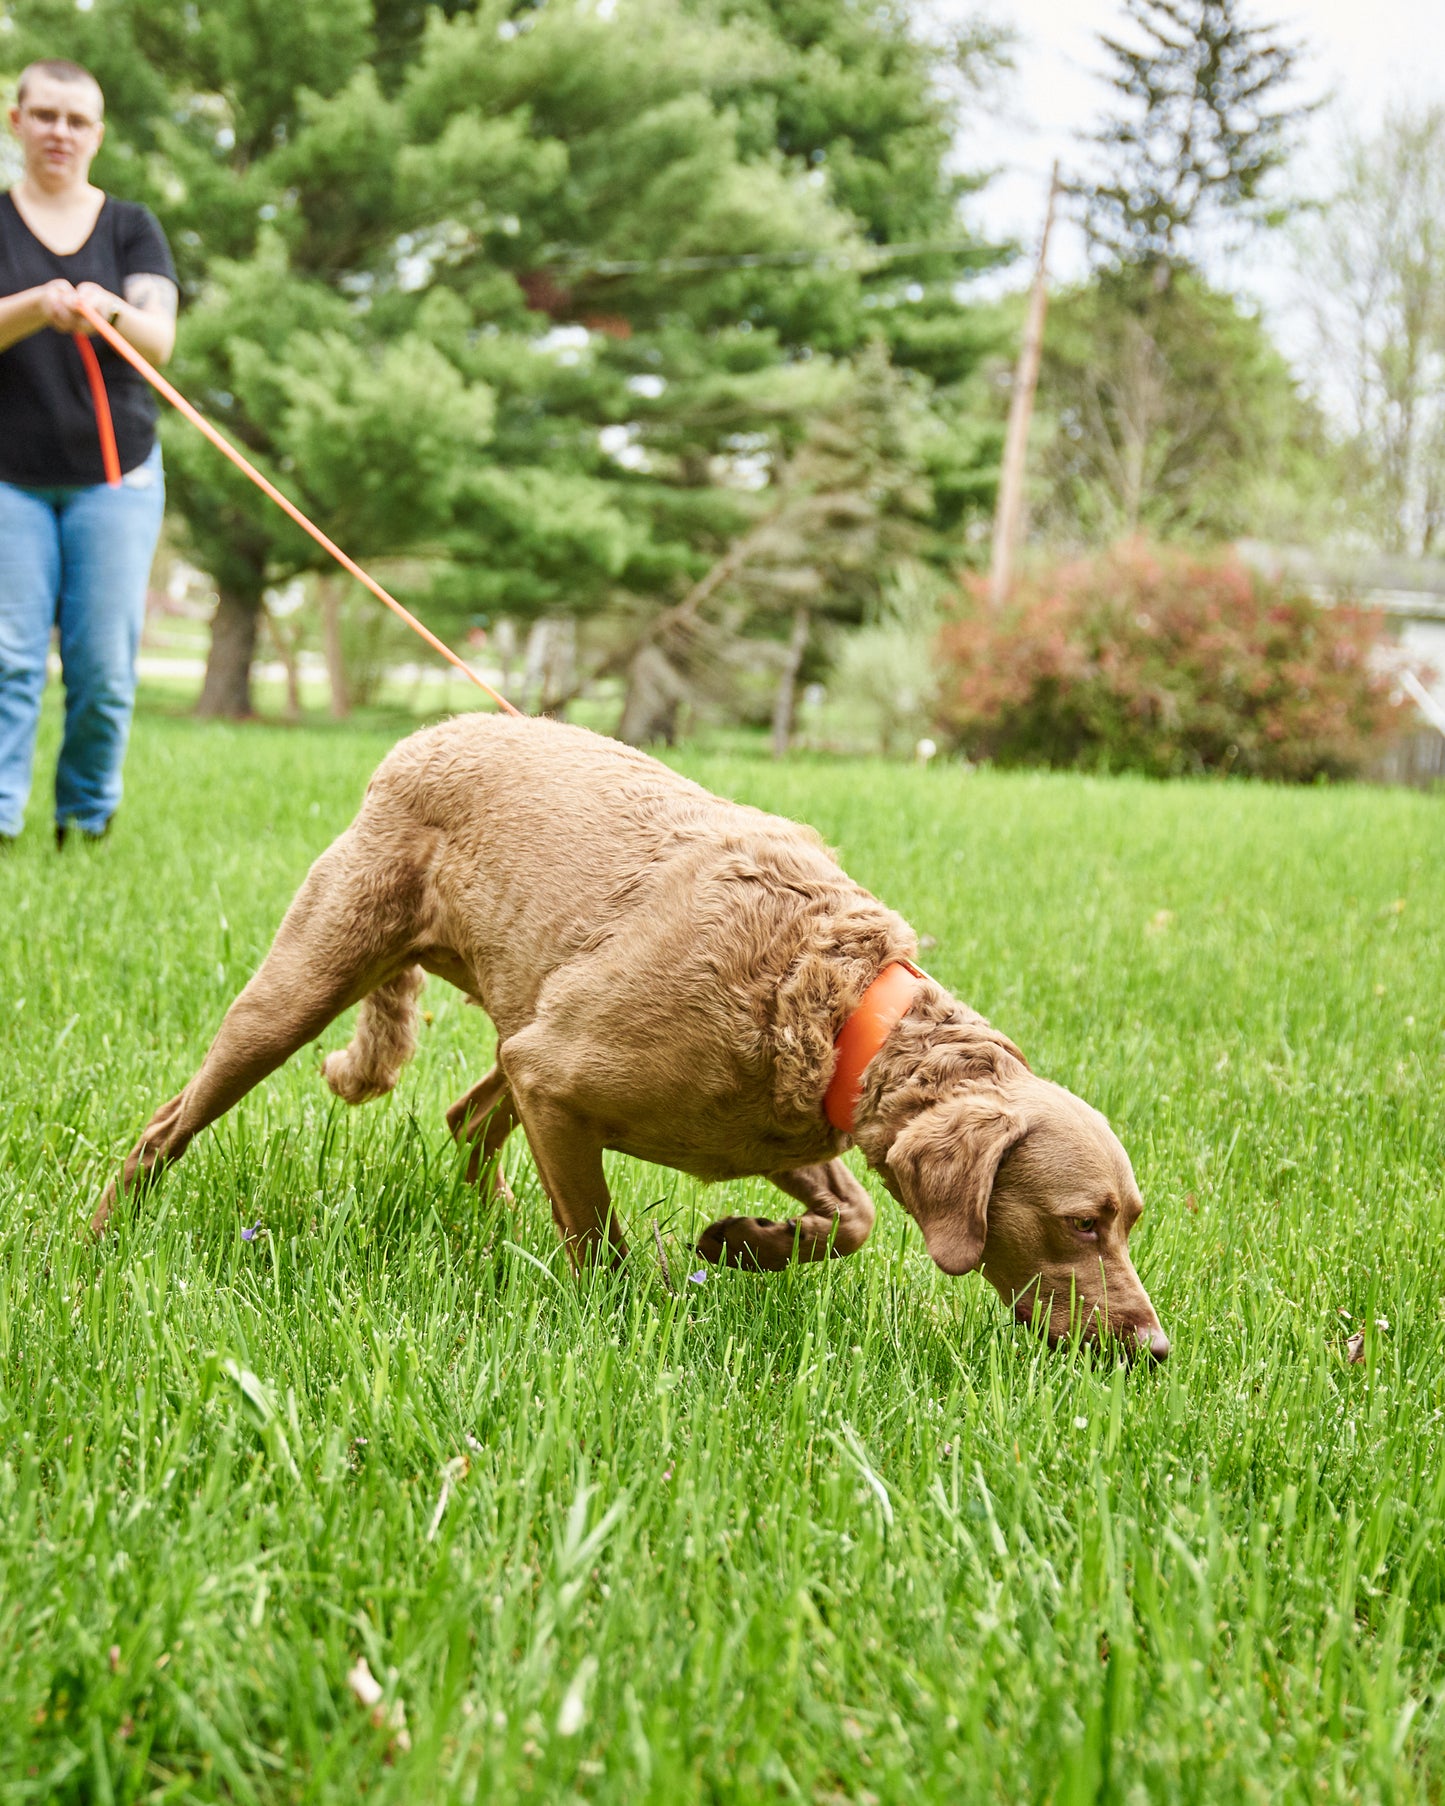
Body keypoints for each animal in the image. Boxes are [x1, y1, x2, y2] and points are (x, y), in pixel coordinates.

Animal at [98, 711, 1163, 1358]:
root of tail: (426, 733)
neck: (836, 1000)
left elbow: (853, 1216)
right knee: (168, 1124)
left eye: (1127, 1220)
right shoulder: (561, 1079)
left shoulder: (766, 1121)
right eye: (1082, 1222)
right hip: (306, 983)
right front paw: (623, 1318)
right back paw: (103, 1238)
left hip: (521, 1010)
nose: (1154, 1351)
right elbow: (599, 1243)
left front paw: (742, 1242)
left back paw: (492, 1223)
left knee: (466, 1116)